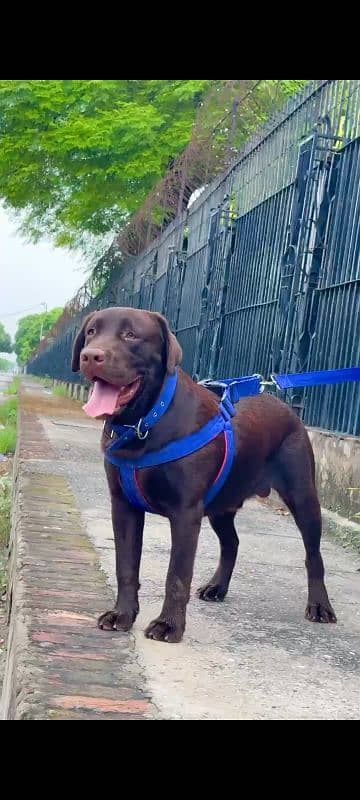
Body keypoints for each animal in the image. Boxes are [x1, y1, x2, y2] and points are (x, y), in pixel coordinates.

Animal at [71, 306, 336, 644]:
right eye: (91, 332)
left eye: (131, 335)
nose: (91, 356)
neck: (145, 422)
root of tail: (286, 406)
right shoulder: (123, 506)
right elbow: (126, 566)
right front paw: (122, 615)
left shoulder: (186, 513)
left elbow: (177, 574)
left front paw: (169, 625)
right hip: (222, 504)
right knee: (232, 543)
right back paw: (216, 587)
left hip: (302, 497)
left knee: (314, 555)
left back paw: (320, 606)